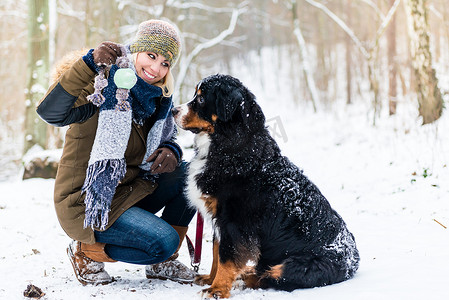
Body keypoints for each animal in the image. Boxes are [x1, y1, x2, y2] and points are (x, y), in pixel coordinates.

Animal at [170, 74, 358, 298]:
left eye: (200, 99)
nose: (173, 110)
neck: (229, 145)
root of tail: (353, 261)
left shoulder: (234, 222)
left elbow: (226, 257)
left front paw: (217, 289)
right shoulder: (219, 217)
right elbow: (217, 252)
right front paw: (210, 279)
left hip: (297, 265)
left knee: (272, 277)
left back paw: (246, 276)